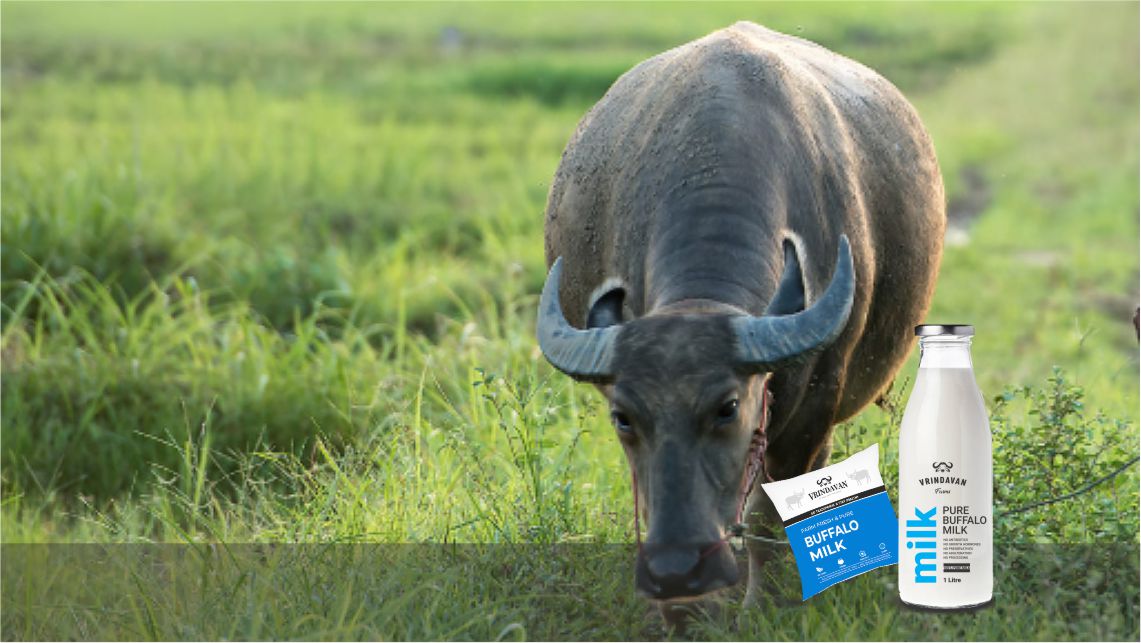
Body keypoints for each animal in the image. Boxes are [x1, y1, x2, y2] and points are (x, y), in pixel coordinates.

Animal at [533, 18, 944, 611]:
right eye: (624, 417)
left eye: (727, 408)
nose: (676, 569)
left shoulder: (811, 412)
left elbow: (771, 512)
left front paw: (764, 603)